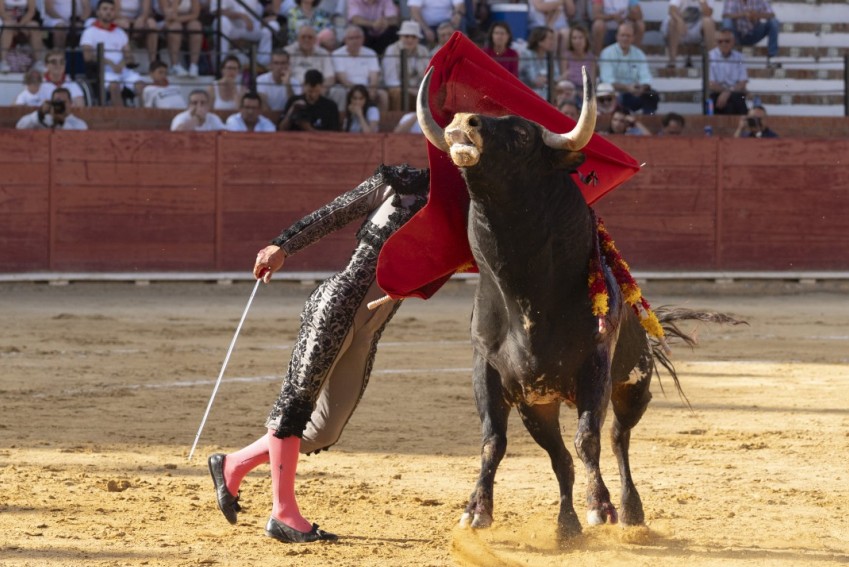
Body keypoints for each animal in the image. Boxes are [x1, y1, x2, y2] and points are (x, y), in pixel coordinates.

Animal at [418, 69, 736, 544]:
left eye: (521, 133)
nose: (462, 121)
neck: (525, 293)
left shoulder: (594, 366)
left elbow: (589, 438)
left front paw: (600, 507)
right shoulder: (492, 371)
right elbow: (494, 440)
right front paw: (476, 511)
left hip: (633, 386)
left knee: (618, 439)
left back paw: (628, 510)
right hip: (539, 404)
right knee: (560, 457)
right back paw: (566, 525)